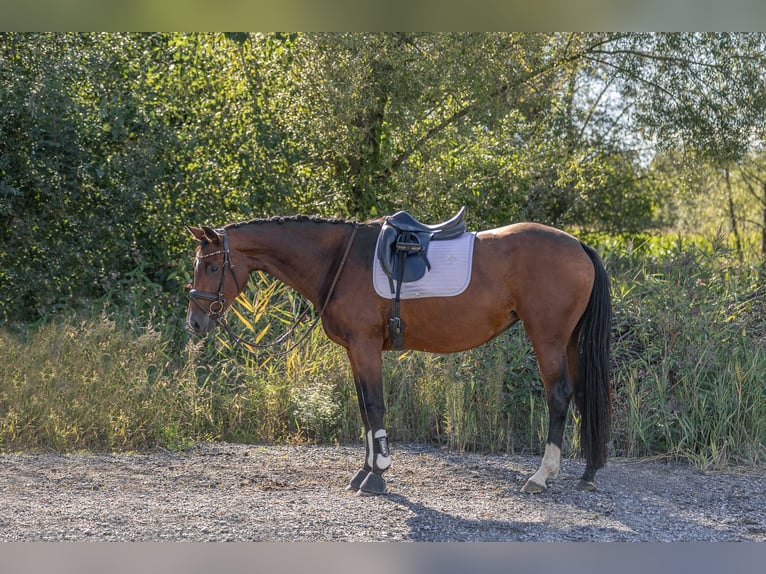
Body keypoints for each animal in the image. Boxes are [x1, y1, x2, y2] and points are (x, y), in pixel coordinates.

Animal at [185, 212, 612, 495]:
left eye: (211, 266)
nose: (195, 322)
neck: (338, 261)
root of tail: (578, 245)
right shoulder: (356, 351)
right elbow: (364, 408)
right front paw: (364, 470)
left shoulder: (365, 346)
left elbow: (374, 406)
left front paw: (378, 474)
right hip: (569, 342)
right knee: (581, 396)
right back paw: (588, 473)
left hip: (548, 340)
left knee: (559, 397)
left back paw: (541, 476)